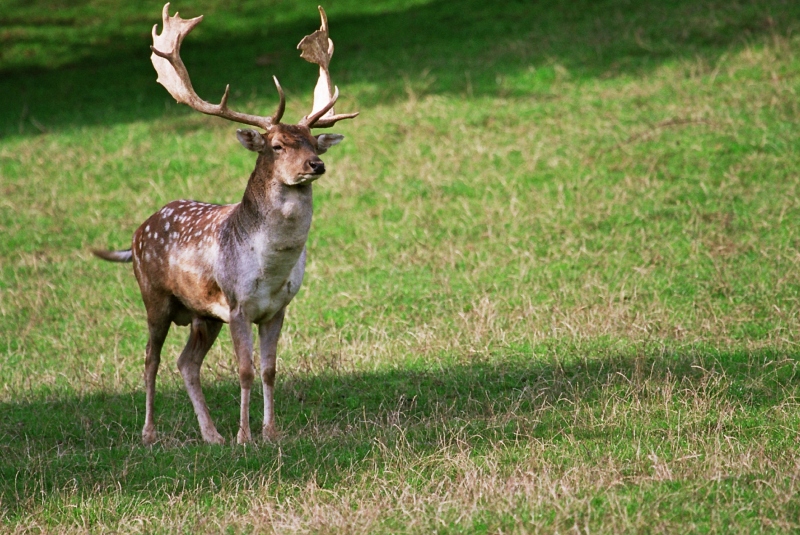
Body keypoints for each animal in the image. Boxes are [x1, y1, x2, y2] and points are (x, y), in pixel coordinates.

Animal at [92, 4, 358, 446]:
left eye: (311, 141)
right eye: (277, 145)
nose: (316, 165)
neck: (271, 268)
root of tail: (138, 233)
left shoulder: (277, 308)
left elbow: (269, 370)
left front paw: (270, 432)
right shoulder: (236, 305)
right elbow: (245, 371)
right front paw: (245, 437)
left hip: (201, 315)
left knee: (186, 362)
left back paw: (210, 434)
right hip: (154, 297)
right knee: (150, 358)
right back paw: (149, 432)